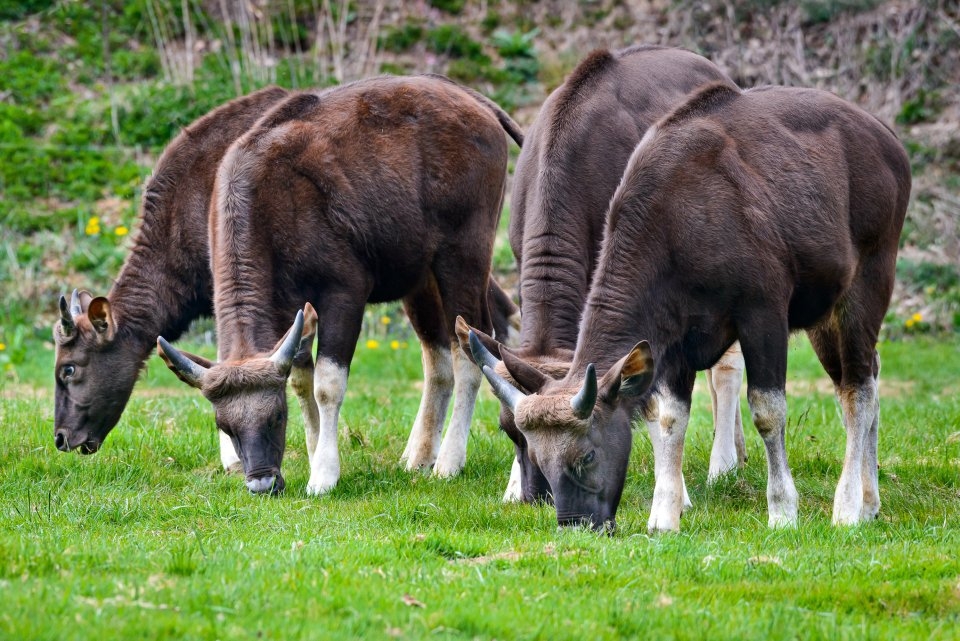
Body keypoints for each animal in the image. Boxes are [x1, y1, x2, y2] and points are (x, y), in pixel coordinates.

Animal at [161, 75, 524, 496]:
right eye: (224, 425)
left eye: (275, 417)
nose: (262, 482)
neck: (274, 202)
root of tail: (476, 103)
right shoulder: (294, 310)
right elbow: (302, 381)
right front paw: (316, 452)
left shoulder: (344, 294)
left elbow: (327, 385)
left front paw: (323, 473)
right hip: (421, 276)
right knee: (438, 356)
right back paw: (419, 456)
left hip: (462, 258)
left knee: (470, 348)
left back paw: (450, 461)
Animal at [458, 45, 752, 504]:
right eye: (510, 431)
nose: (538, 495)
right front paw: (510, 486)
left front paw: (676, 492)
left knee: (726, 370)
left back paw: (722, 464)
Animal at [470, 82, 908, 532]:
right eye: (536, 455)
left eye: (587, 454)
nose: (576, 522)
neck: (677, 226)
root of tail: (887, 139)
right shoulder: (672, 340)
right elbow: (668, 417)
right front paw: (664, 516)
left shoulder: (763, 314)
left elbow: (767, 410)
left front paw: (783, 511)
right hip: (824, 313)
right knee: (866, 377)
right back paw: (870, 500)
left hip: (866, 288)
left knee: (858, 390)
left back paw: (849, 506)